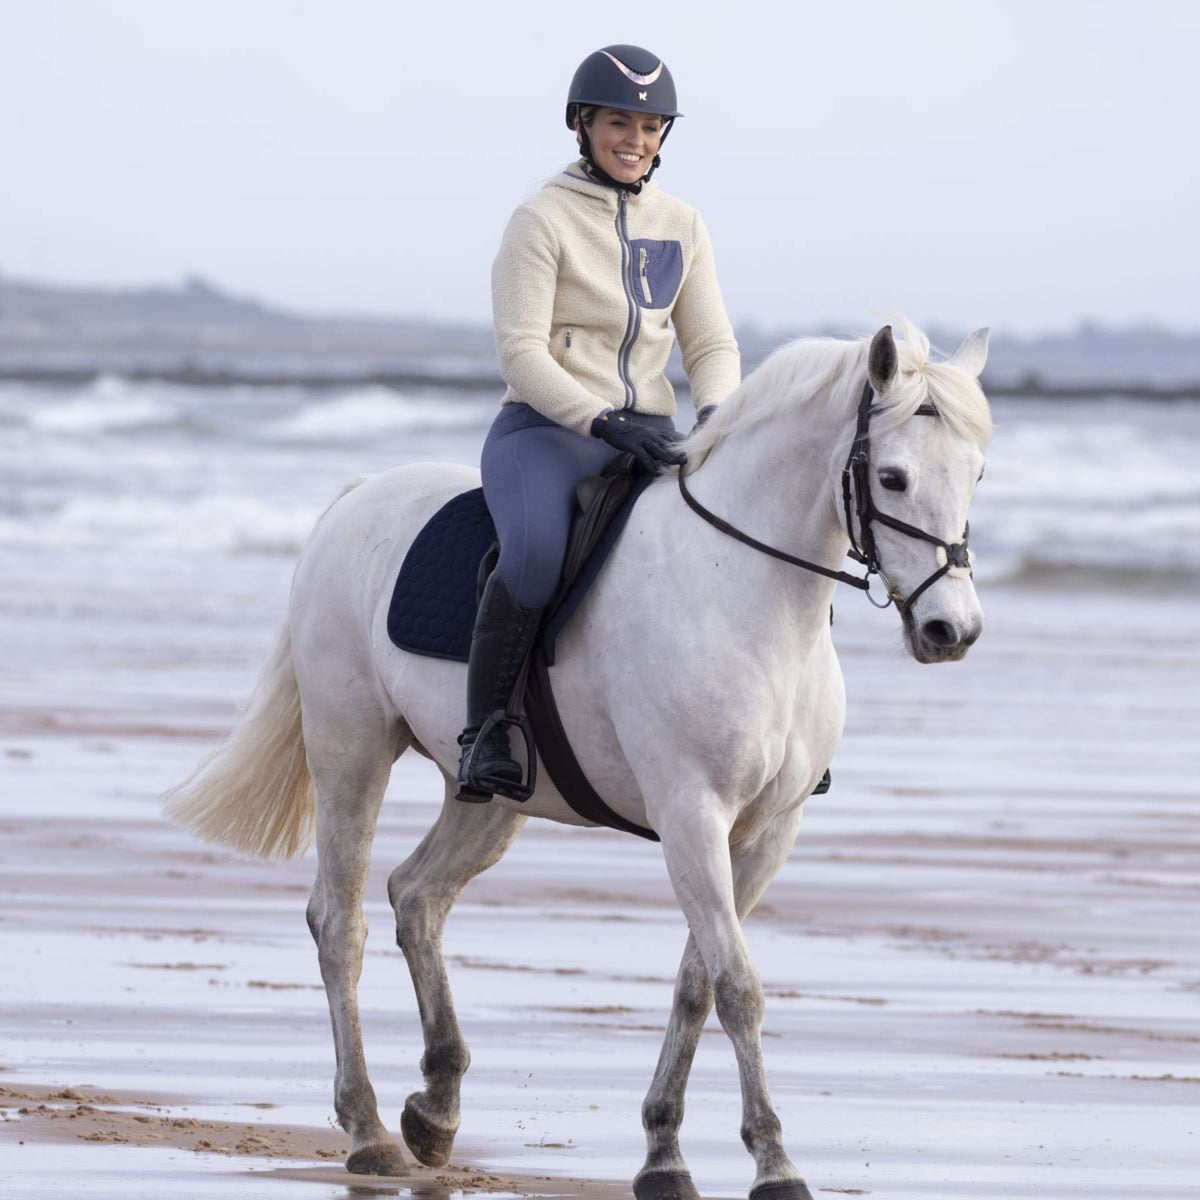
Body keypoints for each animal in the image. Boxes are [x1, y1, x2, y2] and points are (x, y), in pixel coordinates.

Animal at [166, 316, 993, 1200]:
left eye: (977, 472)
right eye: (895, 478)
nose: (952, 630)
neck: (744, 590)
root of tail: (357, 498)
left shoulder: (767, 832)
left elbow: (697, 983)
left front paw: (663, 1152)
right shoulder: (691, 814)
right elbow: (738, 986)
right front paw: (774, 1162)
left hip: (492, 795)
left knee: (417, 896)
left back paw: (437, 1108)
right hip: (350, 747)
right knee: (339, 922)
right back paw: (368, 1131)